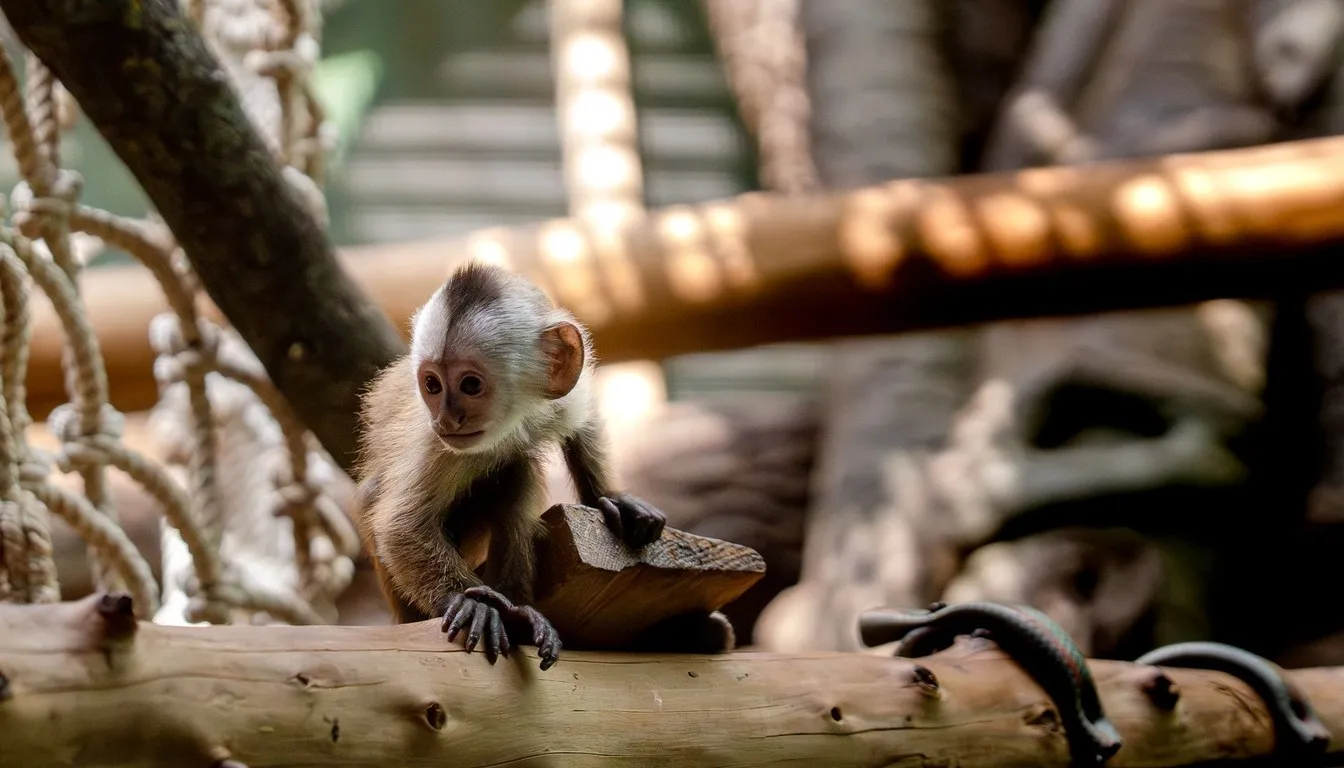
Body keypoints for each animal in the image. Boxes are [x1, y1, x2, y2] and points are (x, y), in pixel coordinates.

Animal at [353, 261, 668, 671]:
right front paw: (473, 603)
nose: (447, 419)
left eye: (470, 385)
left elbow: (582, 419)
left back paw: (518, 610)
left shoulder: (560, 393)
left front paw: (612, 498)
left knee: (516, 473)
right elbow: (400, 527)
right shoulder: (435, 441)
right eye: (432, 385)